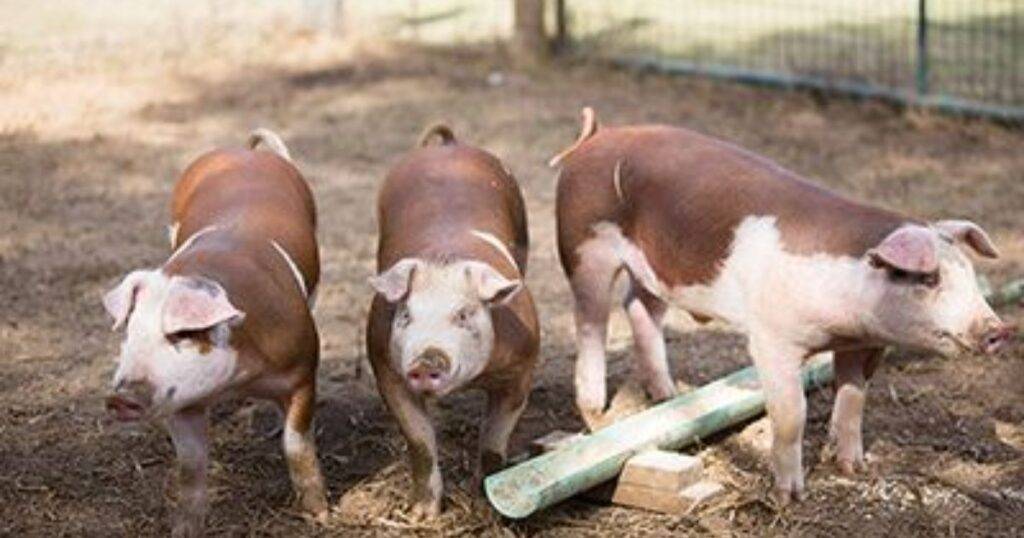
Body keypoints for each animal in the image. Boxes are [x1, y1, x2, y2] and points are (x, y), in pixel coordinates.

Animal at [102, 129, 328, 536]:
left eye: (180, 335)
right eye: (129, 332)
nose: (118, 398)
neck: (237, 379)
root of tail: (245, 152)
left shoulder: (304, 372)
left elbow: (297, 446)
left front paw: (321, 516)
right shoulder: (180, 400)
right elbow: (190, 469)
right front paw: (182, 530)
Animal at [367, 124, 539, 518]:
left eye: (463, 314)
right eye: (406, 315)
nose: (427, 359)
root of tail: (447, 146)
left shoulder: (522, 370)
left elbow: (494, 441)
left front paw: (487, 506)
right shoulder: (385, 369)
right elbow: (420, 444)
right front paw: (420, 516)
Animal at [551, 108, 1012, 504]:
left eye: (969, 273)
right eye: (930, 279)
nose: (998, 330)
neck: (849, 320)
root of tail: (595, 138)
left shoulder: (863, 345)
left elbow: (853, 401)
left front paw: (854, 469)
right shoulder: (772, 339)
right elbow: (792, 414)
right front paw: (789, 497)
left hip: (657, 269)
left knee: (639, 308)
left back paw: (669, 395)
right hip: (585, 248)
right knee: (591, 322)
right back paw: (596, 412)